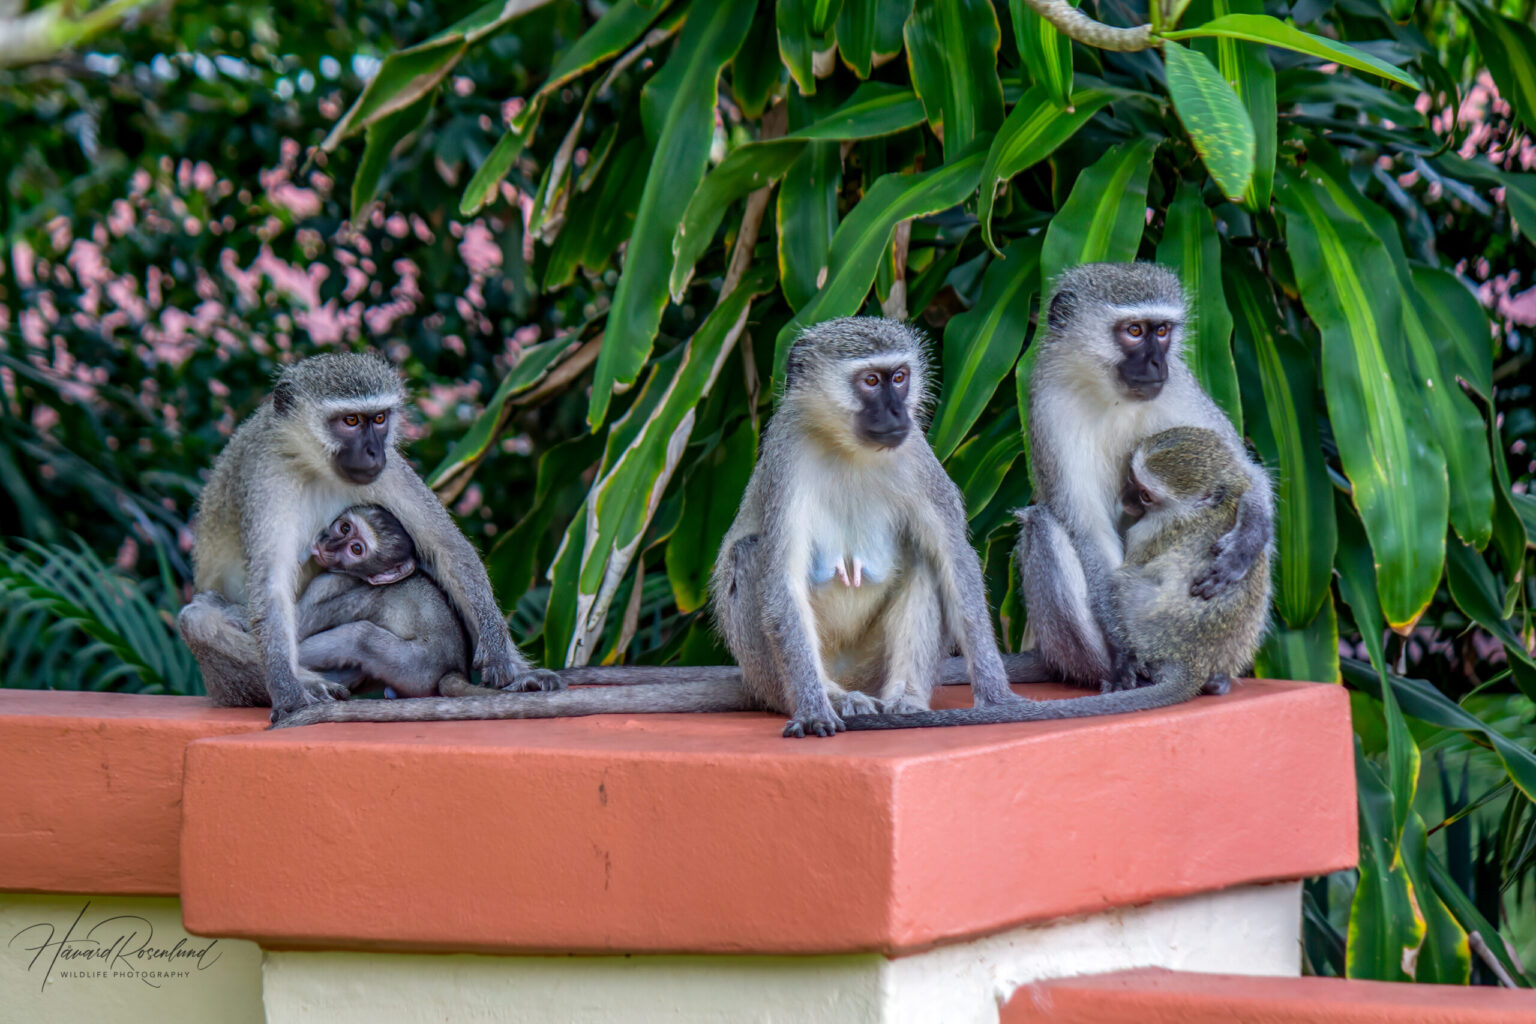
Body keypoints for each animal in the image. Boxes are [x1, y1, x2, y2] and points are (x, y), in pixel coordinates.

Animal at [176, 352, 561, 718]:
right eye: (350, 421)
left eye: (378, 419)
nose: (374, 451)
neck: (313, 464)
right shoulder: (265, 476)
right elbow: (271, 586)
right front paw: (288, 689)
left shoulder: (389, 468)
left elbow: (448, 549)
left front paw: (503, 657)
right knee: (196, 620)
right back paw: (311, 681)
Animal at [270, 318, 1043, 733]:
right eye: (871, 381)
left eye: (900, 378)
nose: (894, 412)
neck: (848, 444)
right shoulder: (786, 460)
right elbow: (779, 576)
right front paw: (817, 713)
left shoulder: (918, 455)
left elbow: (952, 556)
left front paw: (998, 697)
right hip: (771, 664)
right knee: (755, 562)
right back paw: (832, 698)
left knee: (920, 561)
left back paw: (903, 701)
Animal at [842, 426, 1271, 729]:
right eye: (1133, 483)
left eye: (1145, 494)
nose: (1127, 501)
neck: (1210, 506)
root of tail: (1189, 660)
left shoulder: (1152, 529)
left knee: (1043, 525)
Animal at [1012, 262, 1273, 690]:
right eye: (1134, 331)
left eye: (1162, 331)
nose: (1156, 364)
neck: (1113, 395)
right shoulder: (1049, 407)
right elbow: (1088, 530)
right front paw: (1123, 653)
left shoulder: (1180, 385)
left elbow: (1242, 471)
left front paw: (1247, 540)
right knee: (1044, 524)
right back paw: (1114, 670)